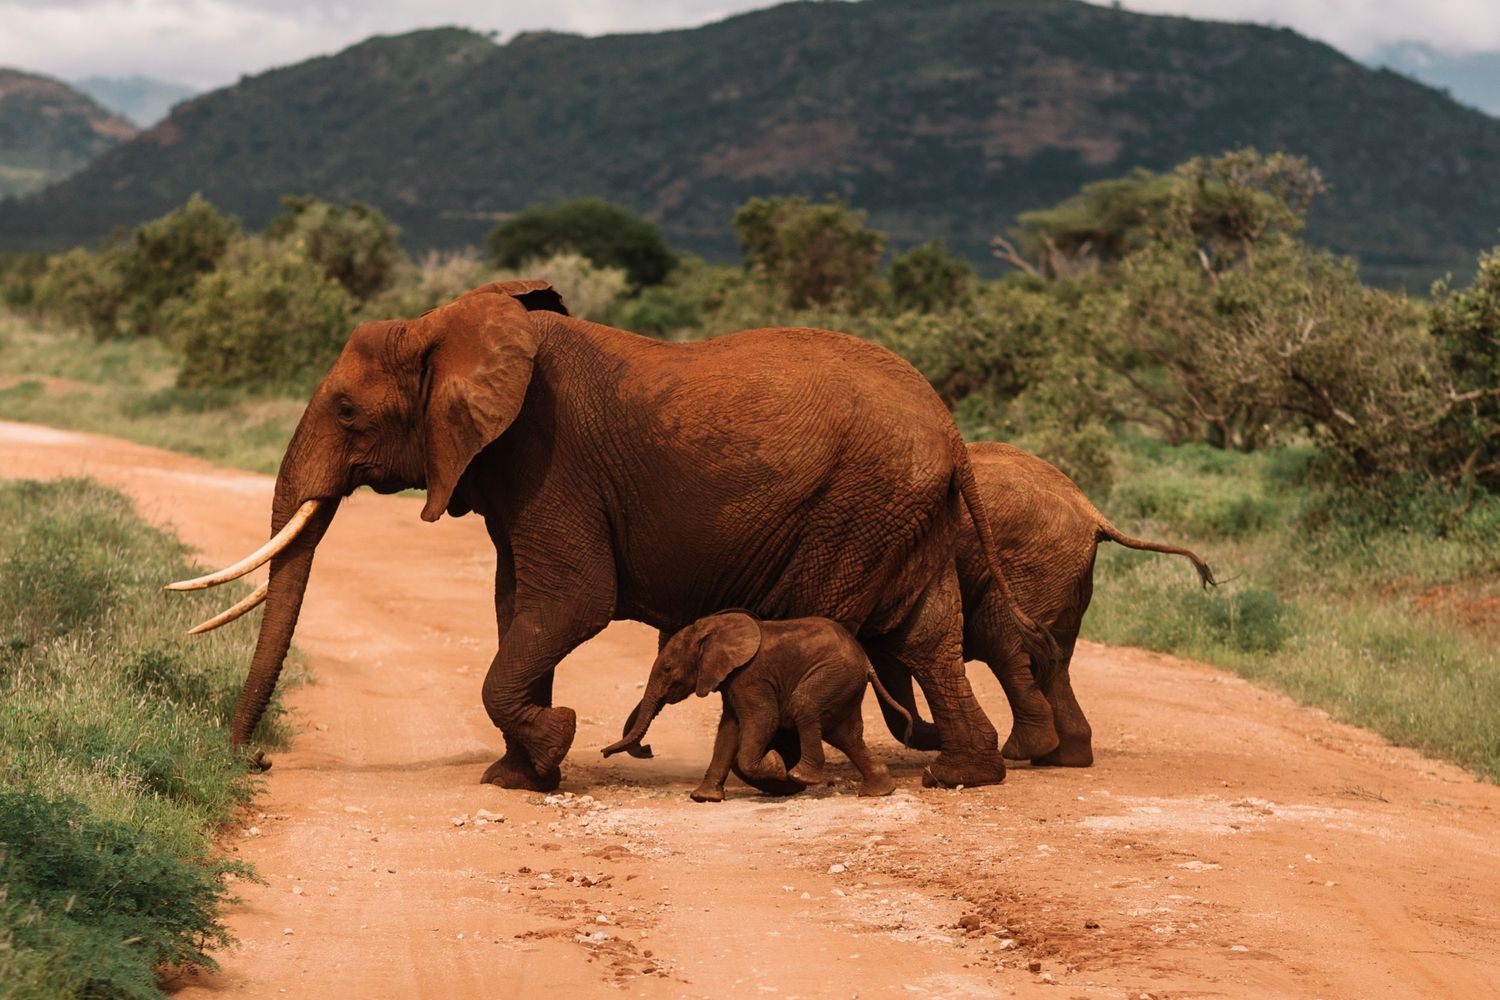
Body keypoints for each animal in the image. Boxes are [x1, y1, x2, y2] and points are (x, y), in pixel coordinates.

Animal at [602, 612, 912, 801]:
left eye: (667, 669)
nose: (648, 749)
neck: (713, 628)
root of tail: (867, 662)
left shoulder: (750, 676)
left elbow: (762, 720)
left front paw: (775, 764)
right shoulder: (731, 680)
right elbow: (728, 730)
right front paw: (704, 798)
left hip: (834, 674)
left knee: (806, 707)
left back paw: (799, 774)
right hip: (844, 683)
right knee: (844, 735)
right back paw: (878, 791)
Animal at [871, 441, 1215, 767]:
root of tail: (1091, 511)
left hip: (1031, 563)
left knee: (1000, 641)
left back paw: (1022, 750)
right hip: (1061, 570)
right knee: (1055, 657)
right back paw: (1062, 757)